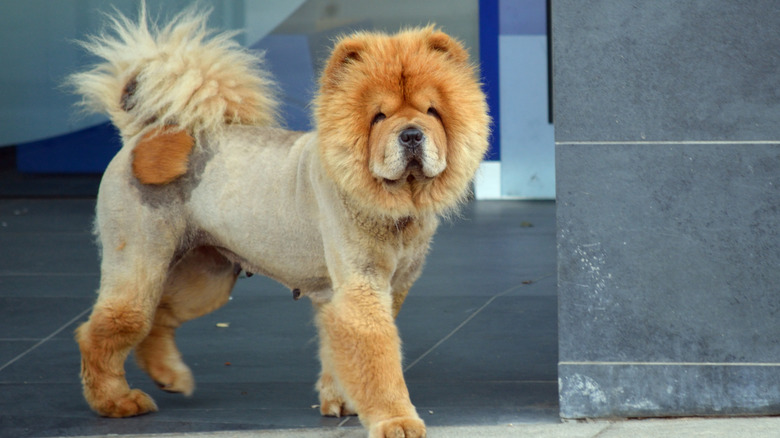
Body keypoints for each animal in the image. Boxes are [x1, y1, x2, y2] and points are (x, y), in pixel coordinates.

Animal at [71, 4, 488, 438]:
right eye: (379, 117)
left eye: (431, 112)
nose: (410, 134)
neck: (392, 203)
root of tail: (143, 136)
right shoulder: (361, 286)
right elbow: (379, 358)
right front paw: (396, 420)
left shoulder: (388, 286)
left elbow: (341, 352)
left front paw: (339, 400)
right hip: (140, 264)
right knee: (107, 327)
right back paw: (116, 401)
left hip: (206, 278)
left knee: (161, 314)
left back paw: (169, 376)